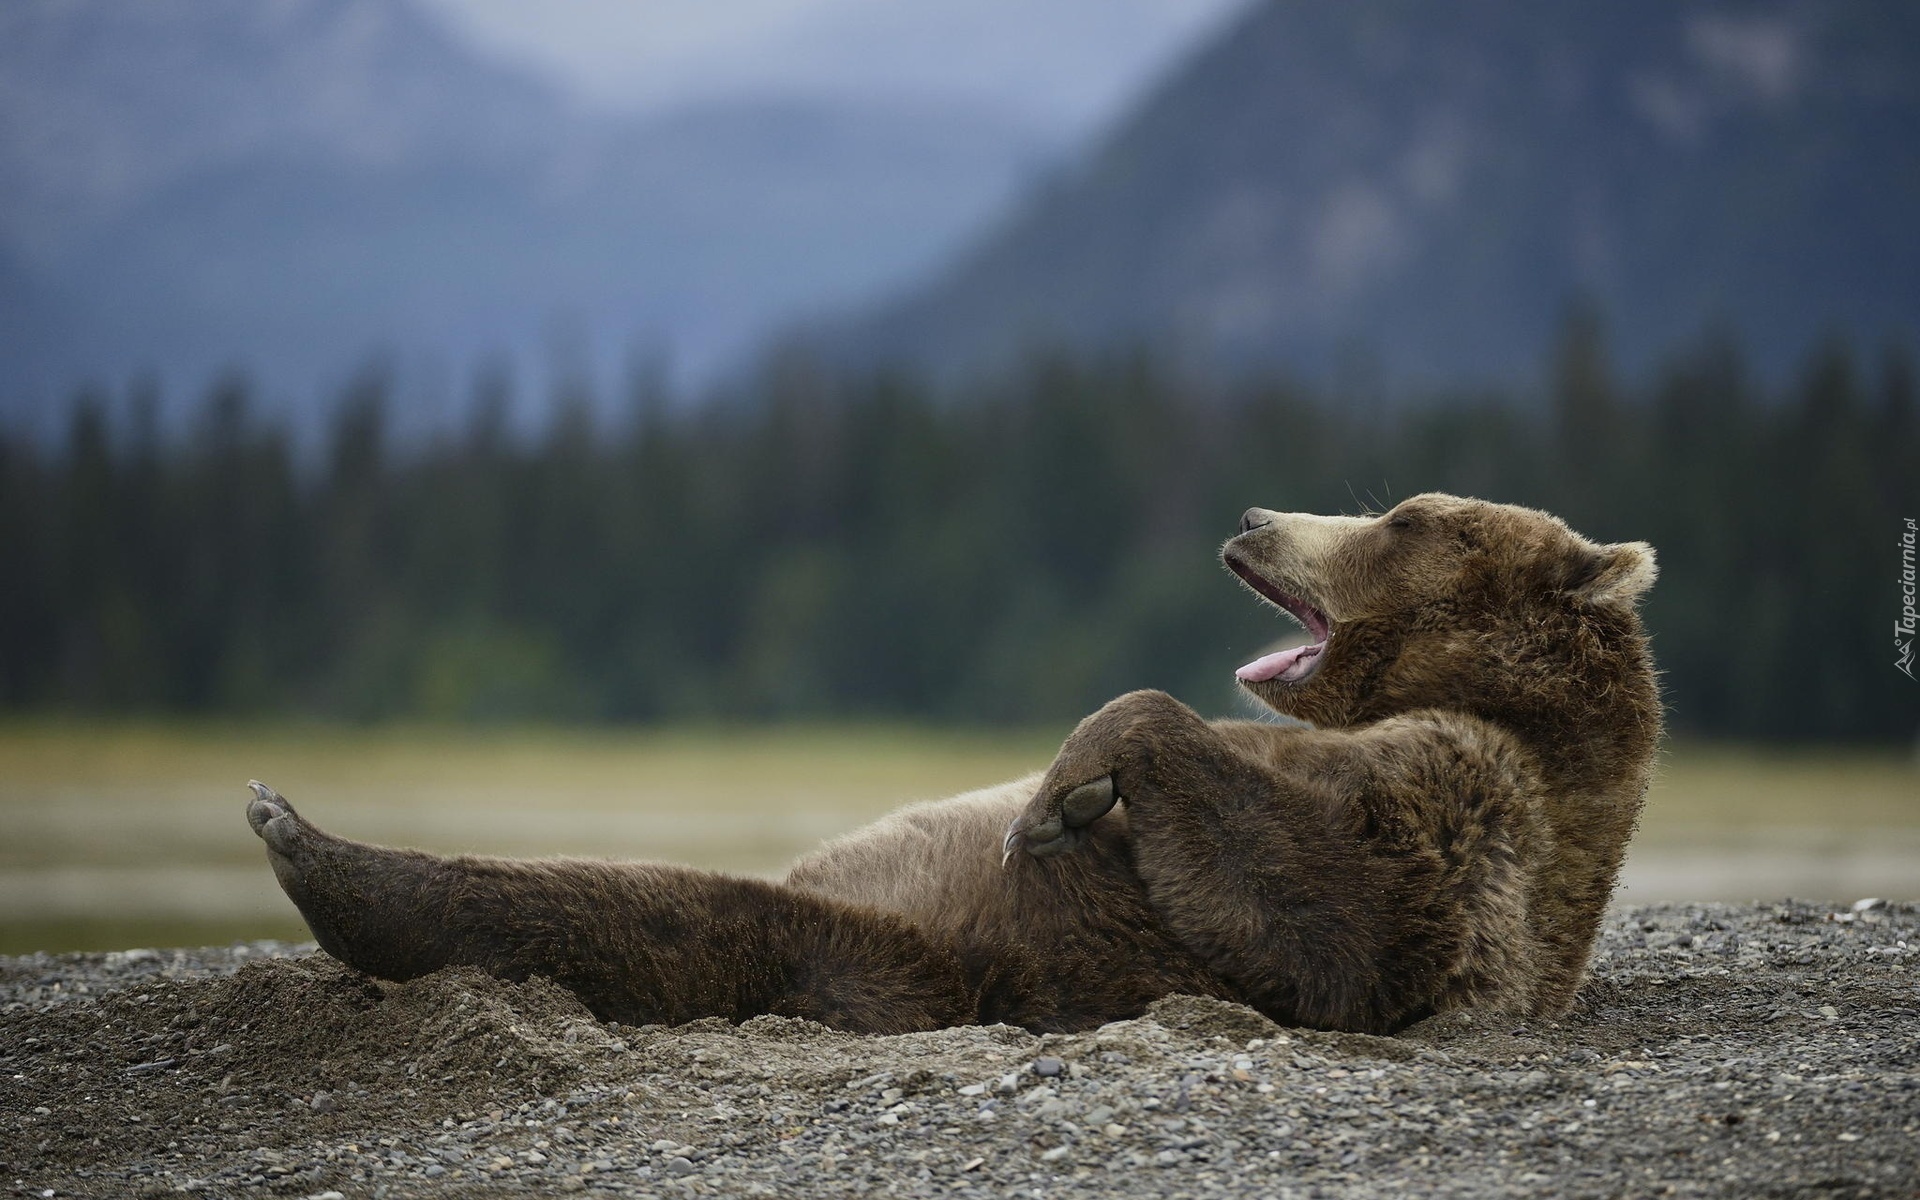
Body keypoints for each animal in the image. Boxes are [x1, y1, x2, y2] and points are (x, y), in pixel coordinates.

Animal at [243, 491, 1651, 1036]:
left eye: (1402, 517)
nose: (1256, 515)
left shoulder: (1468, 826)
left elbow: (1318, 915)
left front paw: (1068, 785)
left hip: (911, 948)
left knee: (663, 912)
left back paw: (309, 842)